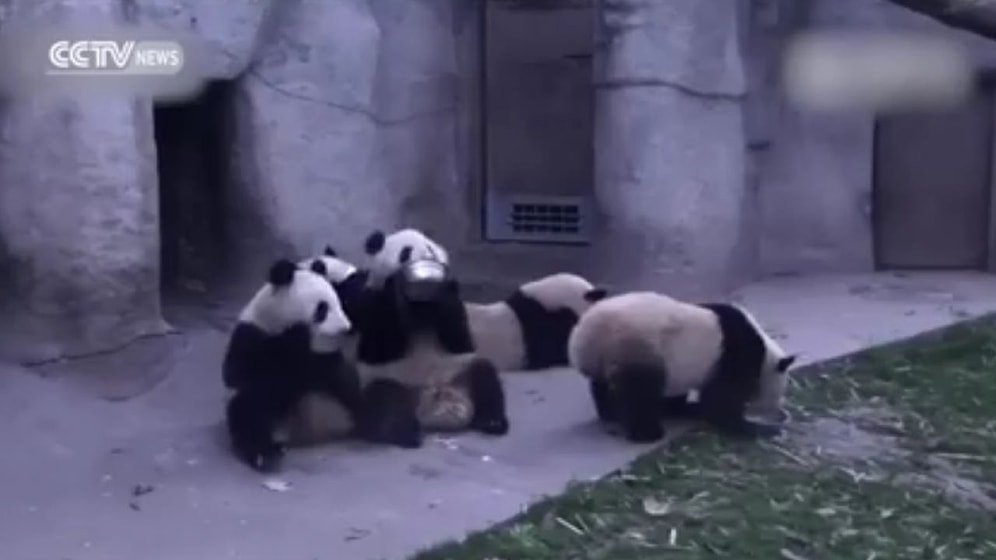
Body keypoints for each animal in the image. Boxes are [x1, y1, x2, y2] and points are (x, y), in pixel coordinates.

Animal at [222, 258, 363, 472]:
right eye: (322, 309)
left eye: (339, 302)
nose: (346, 327)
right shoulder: (251, 334)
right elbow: (237, 373)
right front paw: (296, 334)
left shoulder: (325, 359)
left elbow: (338, 377)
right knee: (248, 411)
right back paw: (266, 454)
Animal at [352, 228, 510, 448]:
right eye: (405, 253)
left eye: (431, 250)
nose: (427, 259)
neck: (422, 304)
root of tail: (434, 411)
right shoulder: (371, 301)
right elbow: (379, 347)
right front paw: (396, 289)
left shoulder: (456, 309)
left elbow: (460, 340)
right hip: (395, 383)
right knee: (385, 396)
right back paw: (405, 434)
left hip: (459, 373)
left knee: (484, 375)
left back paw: (492, 422)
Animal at [567, 290, 797, 443]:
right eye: (780, 391)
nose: (778, 410)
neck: (765, 354)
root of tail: (586, 337)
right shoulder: (736, 355)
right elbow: (722, 399)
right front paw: (750, 427)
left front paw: (683, 408)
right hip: (635, 347)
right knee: (639, 392)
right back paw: (648, 433)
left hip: (610, 358)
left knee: (602, 386)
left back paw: (610, 414)